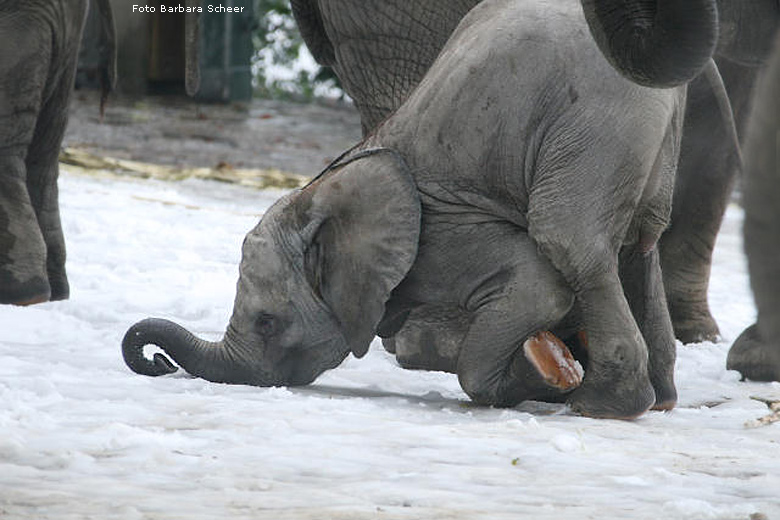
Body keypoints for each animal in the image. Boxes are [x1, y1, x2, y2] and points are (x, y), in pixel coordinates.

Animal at [123, 0, 720, 418]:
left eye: (267, 323)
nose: (157, 362)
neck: (323, 192)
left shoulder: (447, 235)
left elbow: (539, 290)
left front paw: (533, 379)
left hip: (594, 120)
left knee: (567, 238)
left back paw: (604, 405)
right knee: (639, 244)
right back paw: (659, 397)